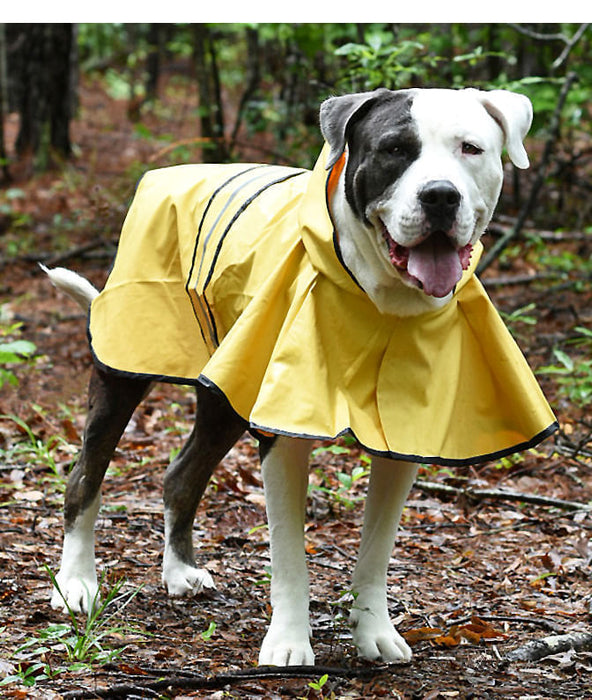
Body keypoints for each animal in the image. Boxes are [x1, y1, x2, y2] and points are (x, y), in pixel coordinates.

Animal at [44, 89, 556, 668]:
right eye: (394, 149)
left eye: (470, 148)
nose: (440, 196)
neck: (383, 303)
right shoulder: (286, 430)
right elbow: (290, 555)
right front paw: (289, 642)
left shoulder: (403, 440)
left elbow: (376, 551)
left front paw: (373, 631)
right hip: (123, 371)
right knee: (85, 477)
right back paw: (76, 583)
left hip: (227, 393)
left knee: (180, 477)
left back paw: (178, 572)